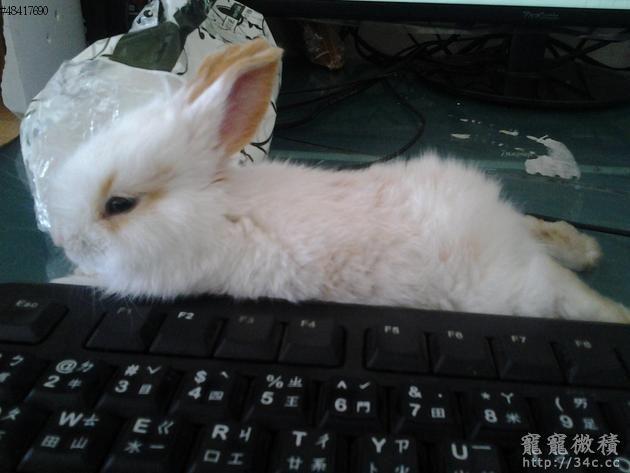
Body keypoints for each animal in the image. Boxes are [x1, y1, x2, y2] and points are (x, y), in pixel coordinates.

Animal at [48, 38, 630, 323]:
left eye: (119, 205)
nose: (61, 238)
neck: (217, 207)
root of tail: (498, 231)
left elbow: (98, 281)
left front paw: (66, 277)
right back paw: (583, 247)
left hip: (507, 290)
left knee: (567, 298)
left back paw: (615, 313)